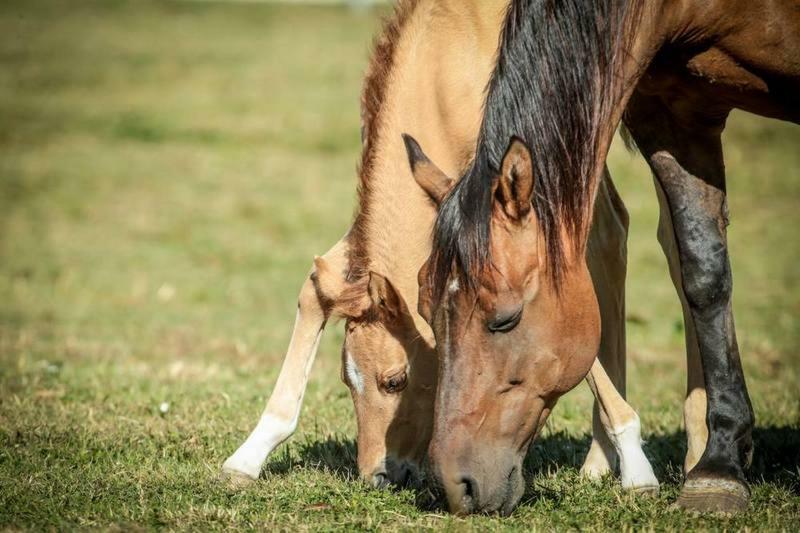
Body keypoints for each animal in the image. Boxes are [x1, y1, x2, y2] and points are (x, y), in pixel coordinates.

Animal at [412, 0, 800, 516]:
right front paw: (718, 469)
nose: (456, 486)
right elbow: (703, 272)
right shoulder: (673, 110)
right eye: (425, 312)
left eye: (505, 319)